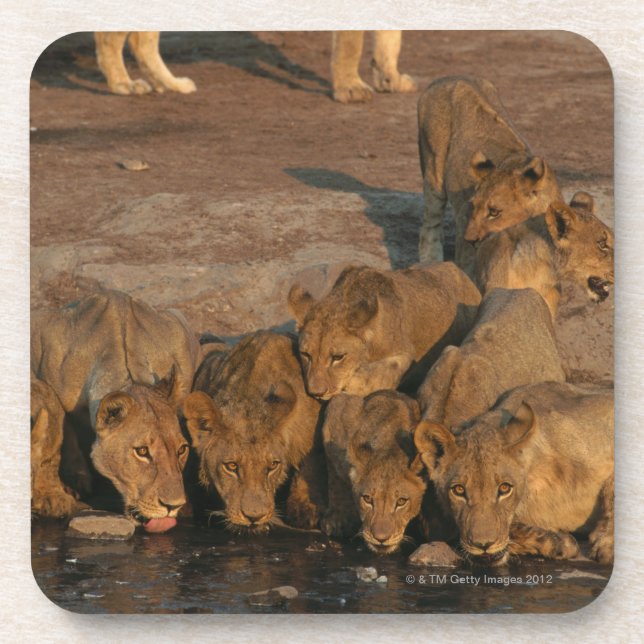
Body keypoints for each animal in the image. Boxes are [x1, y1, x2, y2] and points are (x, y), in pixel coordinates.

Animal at [287, 262, 481, 400]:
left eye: (338, 357)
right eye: (305, 354)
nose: (316, 392)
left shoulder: (406, 353)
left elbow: (383, 371)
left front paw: (354, 384)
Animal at [321, 391, 426, 553]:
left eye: (401, 501)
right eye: (367, 499)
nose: (381, 538)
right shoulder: (336, 411)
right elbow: (335, 481)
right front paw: (336, 518)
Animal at [417, 76, 561, 272]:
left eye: (494, 212)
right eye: (472, 206)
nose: (470, 240)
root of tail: (448, 78)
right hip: (433, 172)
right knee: (429, 225)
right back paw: (430, 262)